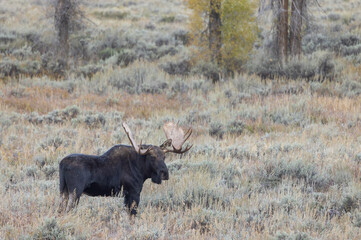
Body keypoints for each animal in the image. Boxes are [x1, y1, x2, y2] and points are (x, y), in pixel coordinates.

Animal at [57, 123, 191, 215]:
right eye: (152, 157)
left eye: (164, 156)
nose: (164, 173)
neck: (141, 170)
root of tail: (62, 164)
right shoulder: (133, 192)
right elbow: (132, 215)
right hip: (75, 191)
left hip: (63, 190)